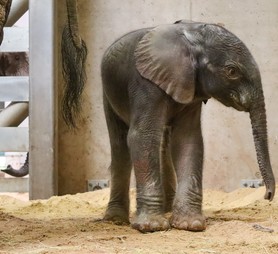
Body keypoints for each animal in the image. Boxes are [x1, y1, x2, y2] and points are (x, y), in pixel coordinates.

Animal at [101, 20, 274, 233]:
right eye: (232, 71)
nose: (267, 196)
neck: (190, 36)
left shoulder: (191, 86)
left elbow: (188, 139)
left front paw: (189, 224)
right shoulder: (145, 83)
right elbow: (142, 136)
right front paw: (152, 226)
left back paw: (166, 210)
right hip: (108, 90)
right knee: (120, 144)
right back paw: (115, 220)